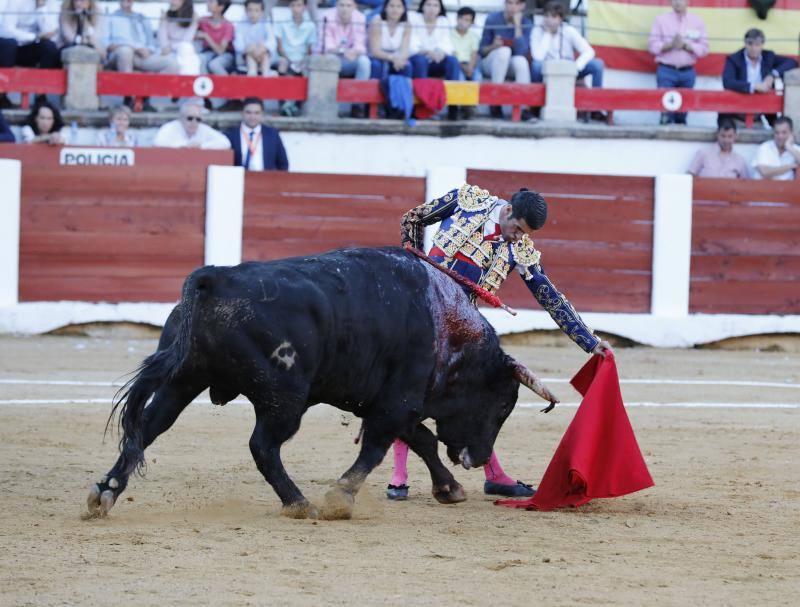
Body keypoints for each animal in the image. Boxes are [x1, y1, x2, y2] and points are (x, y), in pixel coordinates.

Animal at [87, 249, 556, 520]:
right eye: (502, 405)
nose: (479, 458)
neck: (448, 324)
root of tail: (215, 278)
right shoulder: (399, 400)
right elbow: (379, 447)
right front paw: (340, 497)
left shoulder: (386, 401)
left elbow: (421, 439)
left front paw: (450, 489)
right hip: (284, 400)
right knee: (263, 446)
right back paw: (299, 503)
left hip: (183, 381)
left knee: (148, 428)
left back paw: (105, 493)